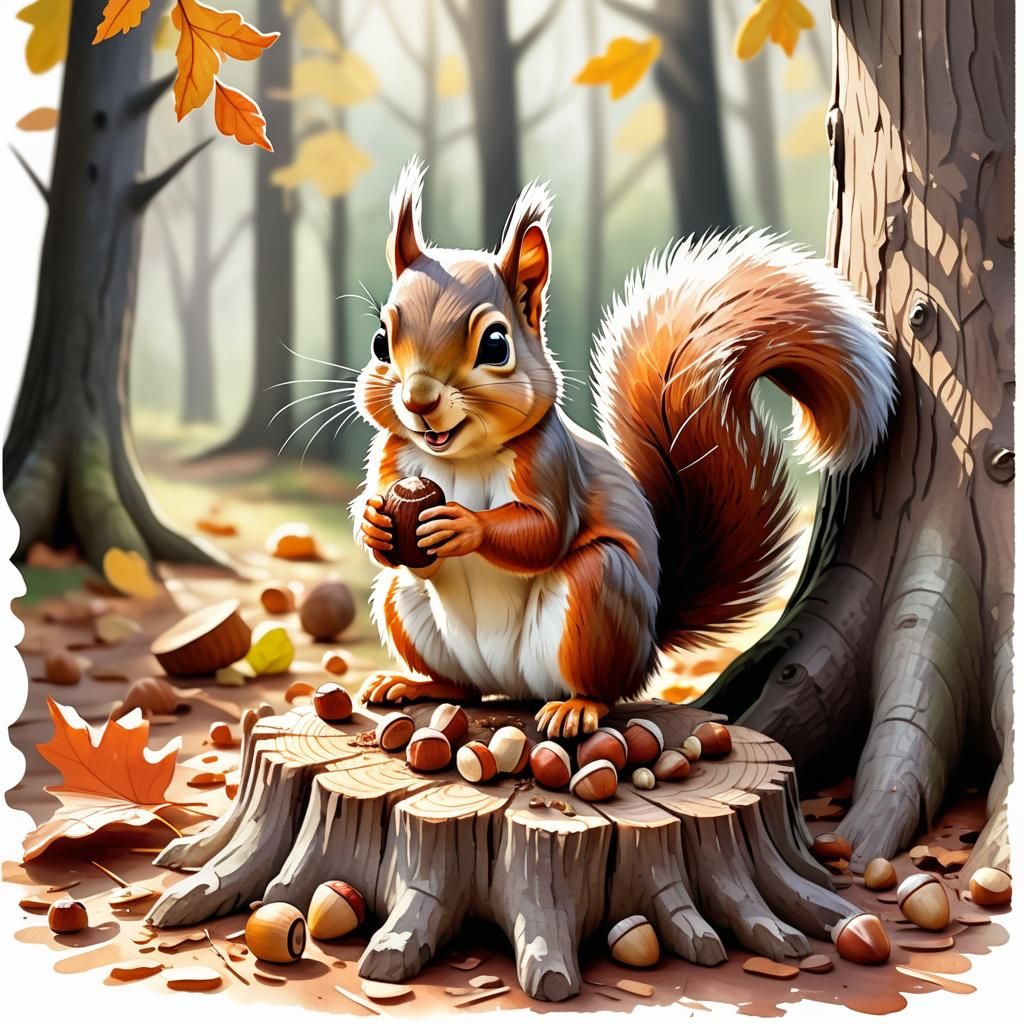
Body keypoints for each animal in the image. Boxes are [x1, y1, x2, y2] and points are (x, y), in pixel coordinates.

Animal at [352, 159, 896, 739]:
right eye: (380, 342)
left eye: (496, 345)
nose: (419, 400)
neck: (459, 454)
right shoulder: (392, 459)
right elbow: (385, 521)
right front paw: (375, 523)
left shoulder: (551, 464)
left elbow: (543, 532)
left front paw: (462, 525)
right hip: (401, 599)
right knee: (462, 685)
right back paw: (412, 683)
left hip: (598, 595)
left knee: (601, 684)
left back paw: (576, 708)